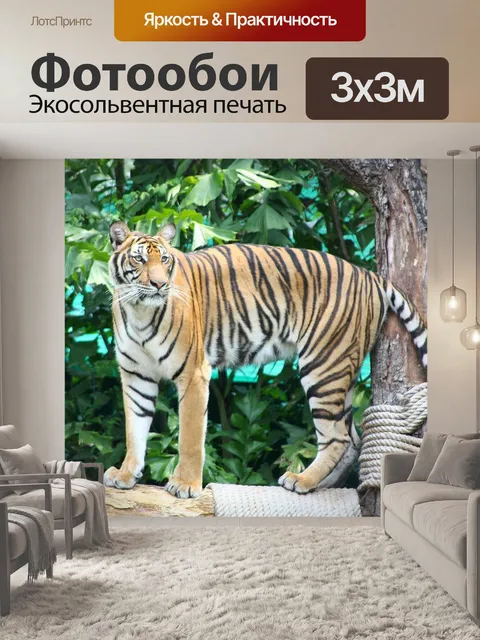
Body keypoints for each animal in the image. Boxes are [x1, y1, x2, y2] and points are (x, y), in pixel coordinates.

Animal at [103, 220, 427, 498]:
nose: (159, 285)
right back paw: (319, 484)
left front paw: (185, 484)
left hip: (324, 365)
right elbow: (135, 429)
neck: (139, 311)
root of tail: (368, 274)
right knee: (351, 440)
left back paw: (302, 480)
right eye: (139, 260)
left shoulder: (193, 374)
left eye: (165, 260)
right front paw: (125, 474)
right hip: (341, 372)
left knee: (338, 438)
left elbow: (190, 437)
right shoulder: (136, 376)